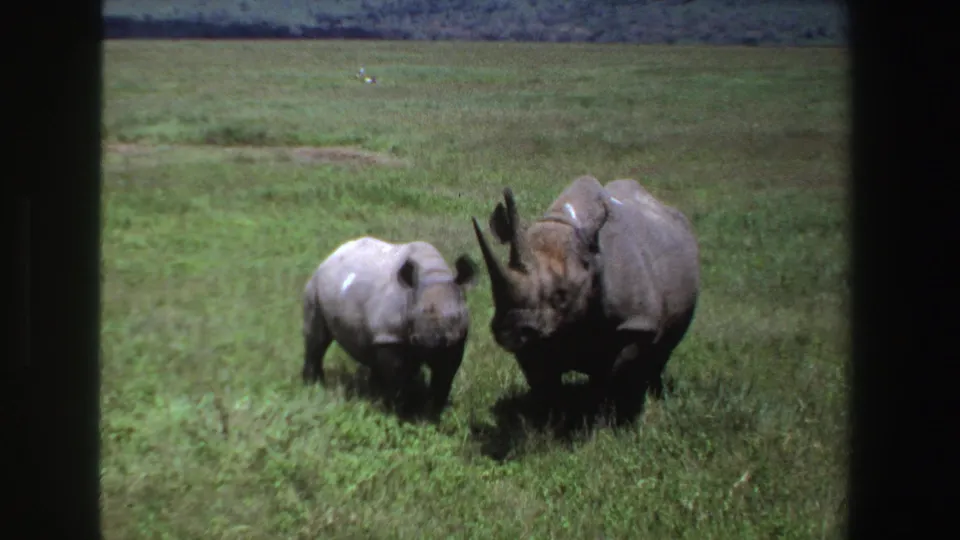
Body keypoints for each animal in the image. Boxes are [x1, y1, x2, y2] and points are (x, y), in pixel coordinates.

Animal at [302, 237, 478, 417]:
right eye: (414, 317)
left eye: (456, 316)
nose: (431, 344)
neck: (433, 274)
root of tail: (330, 257)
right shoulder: (390, 336)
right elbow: (397, 375)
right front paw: (399, 413)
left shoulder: (456, 339)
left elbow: (444, 375)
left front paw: (434, 412)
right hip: (314, 287)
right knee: (317, 339)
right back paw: (314, 386)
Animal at [470, 175, 701, 421]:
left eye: (562, 295)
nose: (509, 331)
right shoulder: (534, 334)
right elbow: (543, 382)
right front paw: (549, 420)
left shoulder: (637, 323)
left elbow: (614, 374)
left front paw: (608, 419)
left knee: (663, 350)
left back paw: (654, 394)